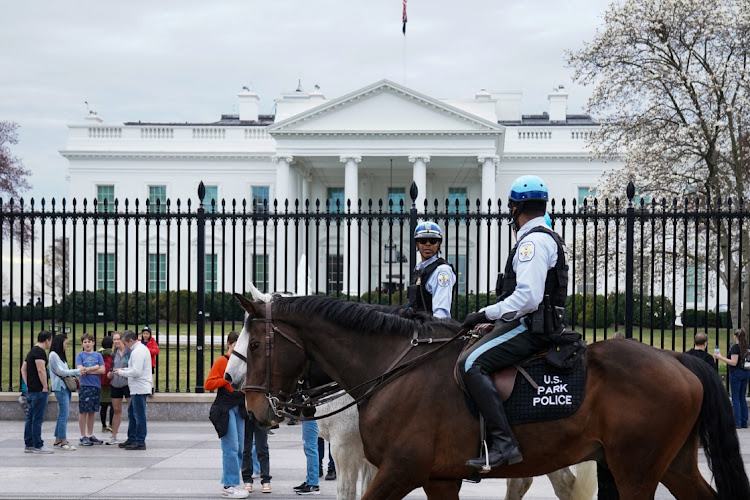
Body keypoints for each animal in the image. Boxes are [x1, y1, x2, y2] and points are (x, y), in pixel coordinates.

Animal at [226, 294, 748, 498]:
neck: (391, 368)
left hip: (635, 470)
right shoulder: (437, 478)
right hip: (671, 465)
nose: (249, 404)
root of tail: (678, 358)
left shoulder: (399, 469)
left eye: (256, 343)